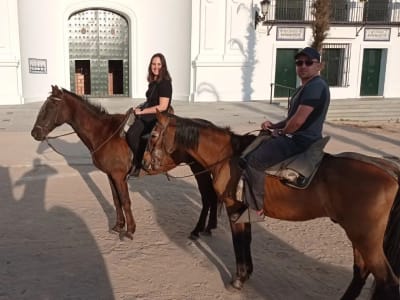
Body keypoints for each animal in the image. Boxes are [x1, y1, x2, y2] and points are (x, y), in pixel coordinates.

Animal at [30, 85, 219, 240]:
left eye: (50, 107)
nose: (35, 133)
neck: (104, 133)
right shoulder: (111, 175)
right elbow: (116, 200)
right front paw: (118, 226)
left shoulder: (119, 176)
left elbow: (125, 200)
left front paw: (130, 230)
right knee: (212, 195)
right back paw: (209, 227)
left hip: (199, 170)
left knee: (207, 196)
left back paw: (197, 230)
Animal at [144, 110, 400, 300]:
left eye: (154, 135)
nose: (144, 163)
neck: (229, 155)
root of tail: (389, 171)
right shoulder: (245, 210)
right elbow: (246, 239)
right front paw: (247, 273)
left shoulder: (233, 207)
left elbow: (238, 241)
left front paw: (239, 278)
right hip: (357, 235)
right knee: (361, 272)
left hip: (365, 236)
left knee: (387, 281)